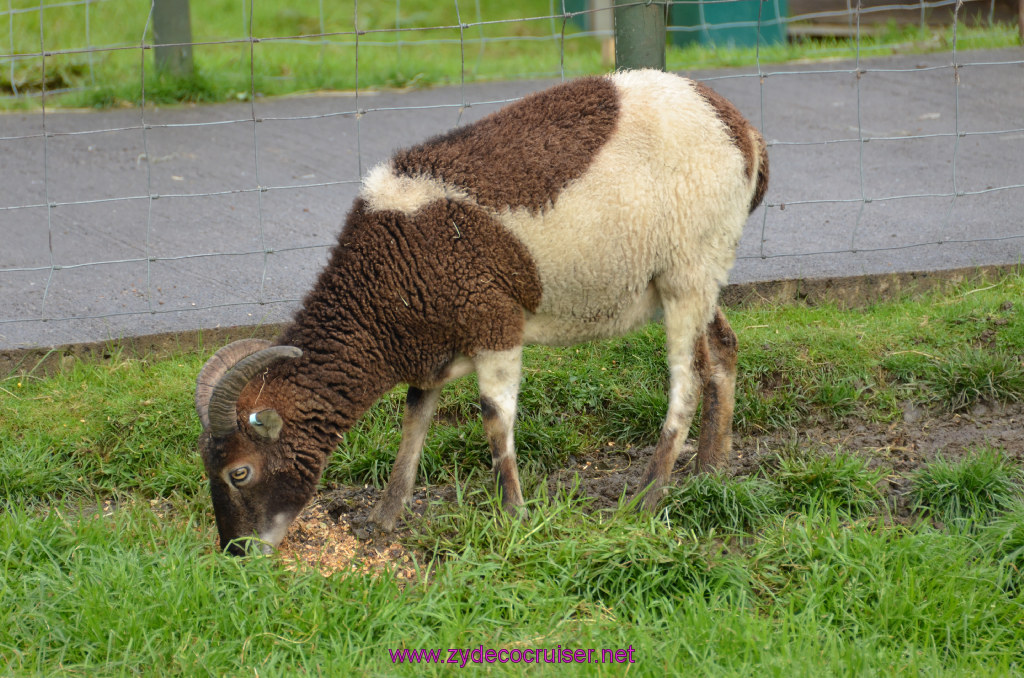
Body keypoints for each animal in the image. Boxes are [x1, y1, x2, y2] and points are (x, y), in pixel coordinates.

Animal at [192, 70, 770, 557]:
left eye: (239, 473)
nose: (236, 554)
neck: (386, 276)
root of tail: (743, 131)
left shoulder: (495, 324)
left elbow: (495, 418)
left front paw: (514, 516)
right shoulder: (432, 346)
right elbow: (415, 418)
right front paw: (384, 516)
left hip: (687, 272)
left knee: (686, 380)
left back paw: (646, 499)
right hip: (701, 275)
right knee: (722, 349)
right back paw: (711, 470)